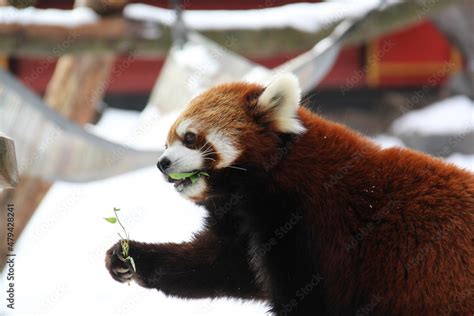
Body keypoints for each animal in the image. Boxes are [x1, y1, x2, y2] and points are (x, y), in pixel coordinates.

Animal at [105, 73, 472, 314]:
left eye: (190, 138)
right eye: (166, 142)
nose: (162, 163)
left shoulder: (314, 228)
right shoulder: (249, 226)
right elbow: (218, 265)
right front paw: (128, 257)